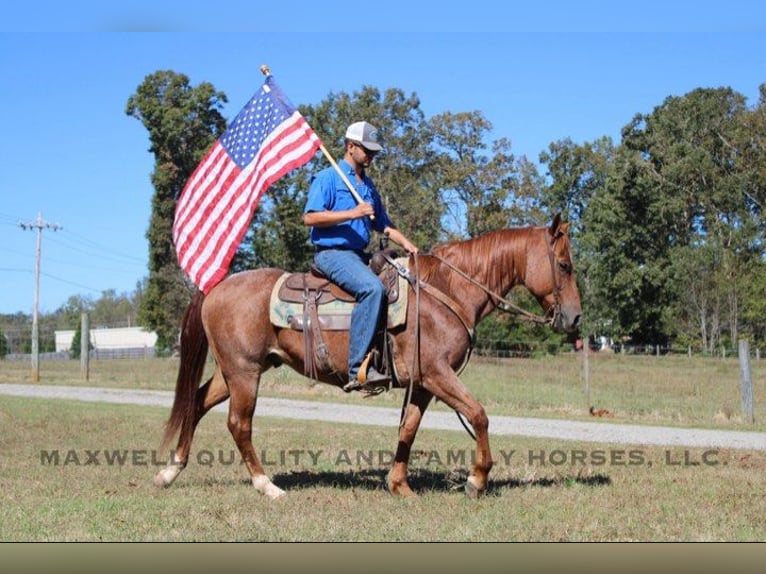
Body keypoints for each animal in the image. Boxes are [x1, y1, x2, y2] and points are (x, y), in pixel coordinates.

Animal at [153, 214, 582, 498]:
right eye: (564, 265)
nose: (575, 318)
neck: (446, 290)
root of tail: (217, 286)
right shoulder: (438, 374)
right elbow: (478, 414)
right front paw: (477, 480)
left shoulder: (422, 383)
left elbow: (408, 429)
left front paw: (400, 485)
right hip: (244, 373)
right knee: (239, 424)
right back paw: (266, 485)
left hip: (236, 370)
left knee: (196, 403)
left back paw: (170, 472)